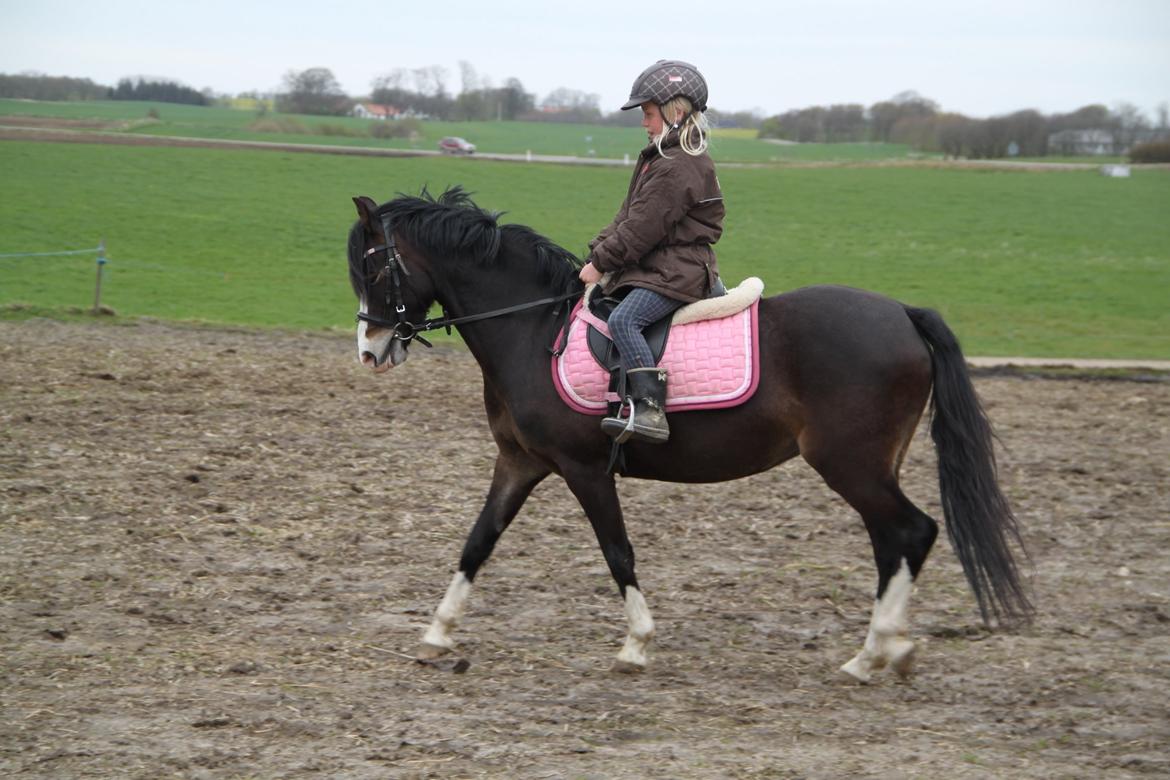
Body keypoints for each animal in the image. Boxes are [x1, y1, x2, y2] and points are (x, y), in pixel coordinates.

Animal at [346, 186, 1032, 681]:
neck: (533, 331)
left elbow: (617, 551)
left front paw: (636, 645)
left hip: (850, 464)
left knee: (910, 532)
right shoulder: (519, 462)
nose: (371, 351)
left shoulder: (583, 469)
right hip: (867, 467)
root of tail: (904, 314)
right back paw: (883, 651)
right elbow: (477, 543)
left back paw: (872, 656)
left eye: (374, 268)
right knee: (894, 540)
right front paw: (436, 635)